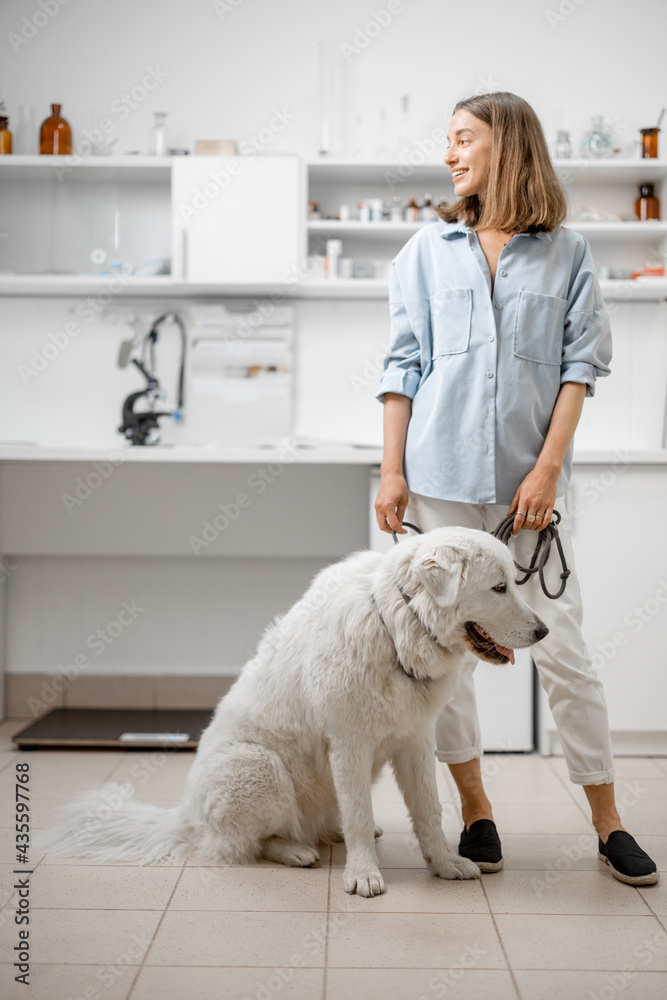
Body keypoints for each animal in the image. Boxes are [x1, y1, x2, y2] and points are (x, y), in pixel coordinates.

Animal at [37, 524, 548, 900]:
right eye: (499, 587)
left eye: (512, 583)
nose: (543, 631)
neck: (396, 626)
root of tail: (186, 817)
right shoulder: (349, 743)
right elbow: (358, 813)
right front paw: (363, 876)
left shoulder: (415, 741)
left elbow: (428, 811)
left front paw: (443, 864)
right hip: (260, 768)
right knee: (247, 844)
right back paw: (297, 851)